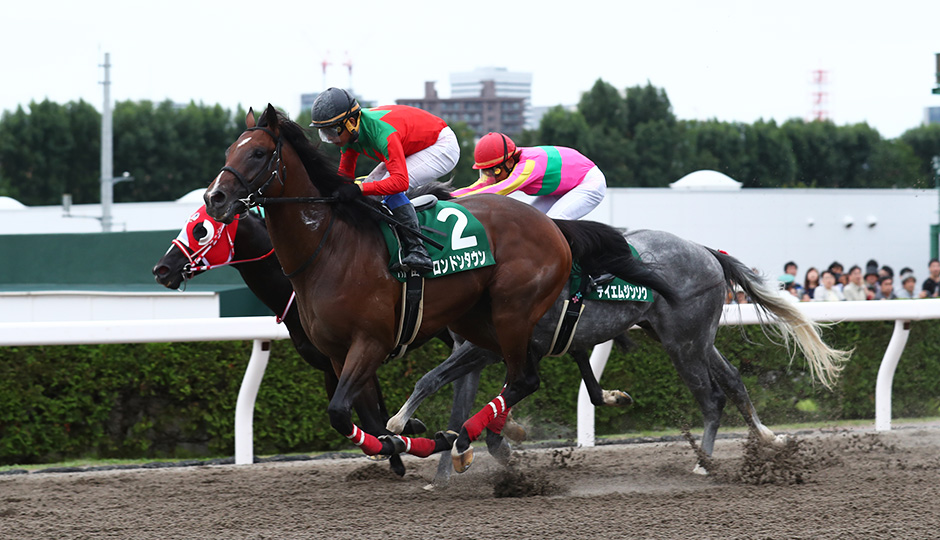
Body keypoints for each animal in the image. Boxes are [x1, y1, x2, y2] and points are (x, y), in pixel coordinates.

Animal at [202, 104, 672, 468]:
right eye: (229, 151)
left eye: (259, 152)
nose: (215, 198)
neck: (329, 247)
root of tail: (553, 226)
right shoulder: (336, 353)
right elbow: (357, 417)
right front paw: (407, 439)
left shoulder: (370, 342)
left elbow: (345, 413)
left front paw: (413, 438)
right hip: (481, 321)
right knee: (523, 369)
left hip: (512, 310)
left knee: (524, 377)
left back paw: (469, 437)